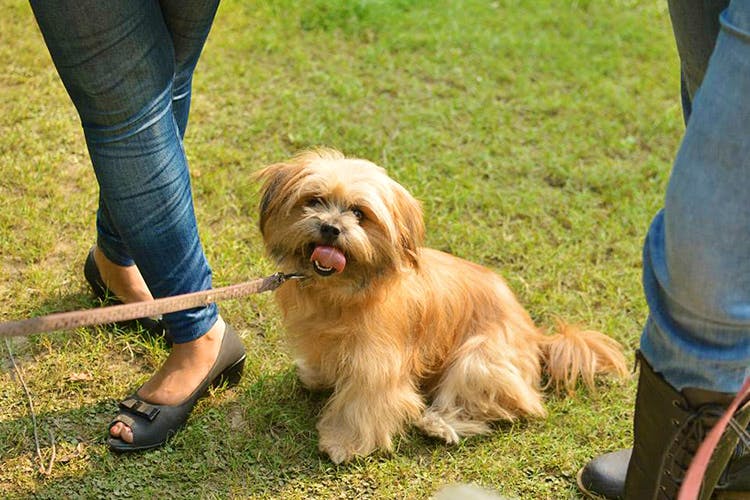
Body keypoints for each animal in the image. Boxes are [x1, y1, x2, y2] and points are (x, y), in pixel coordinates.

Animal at [258, 148, 628, 464]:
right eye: (314, 200)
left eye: (359, 213)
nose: (330, 228)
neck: (344, 290)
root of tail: (536, 337)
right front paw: (317, 377)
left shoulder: (377, 364)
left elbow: (362, 404)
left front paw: (343, 443)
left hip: (479, 359)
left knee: (507, 404)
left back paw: (439, 424)